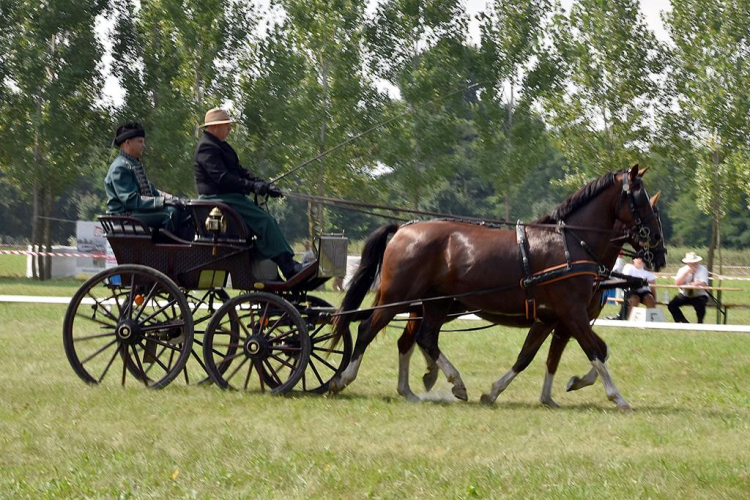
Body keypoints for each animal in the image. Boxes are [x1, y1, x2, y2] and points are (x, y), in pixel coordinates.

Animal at [334, 166, 668, 408]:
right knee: (368, 329)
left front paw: (508, 393)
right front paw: (616, 396)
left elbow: (534, 356)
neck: (571, 244)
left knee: (421, 339)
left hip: (434, 303)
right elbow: (595, 350)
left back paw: (427, 387)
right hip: (398, 298)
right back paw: (344, 378)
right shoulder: (572, 314)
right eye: (641, 201)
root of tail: (404, 228)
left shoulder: (552, 319)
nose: (660, 251)